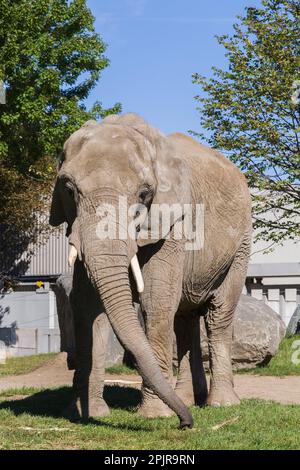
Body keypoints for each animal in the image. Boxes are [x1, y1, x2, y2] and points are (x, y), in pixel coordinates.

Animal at [49, 112, 251, 428]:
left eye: (144, 194)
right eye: (69, 190)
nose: (186, 423)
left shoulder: (174, 222)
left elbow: (156, 299)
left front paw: (155, 415)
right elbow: (87, 305)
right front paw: (85, 413)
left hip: (241, 244)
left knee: (218, 315)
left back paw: (221, 404)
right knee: (184, 319)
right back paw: (189, 399)